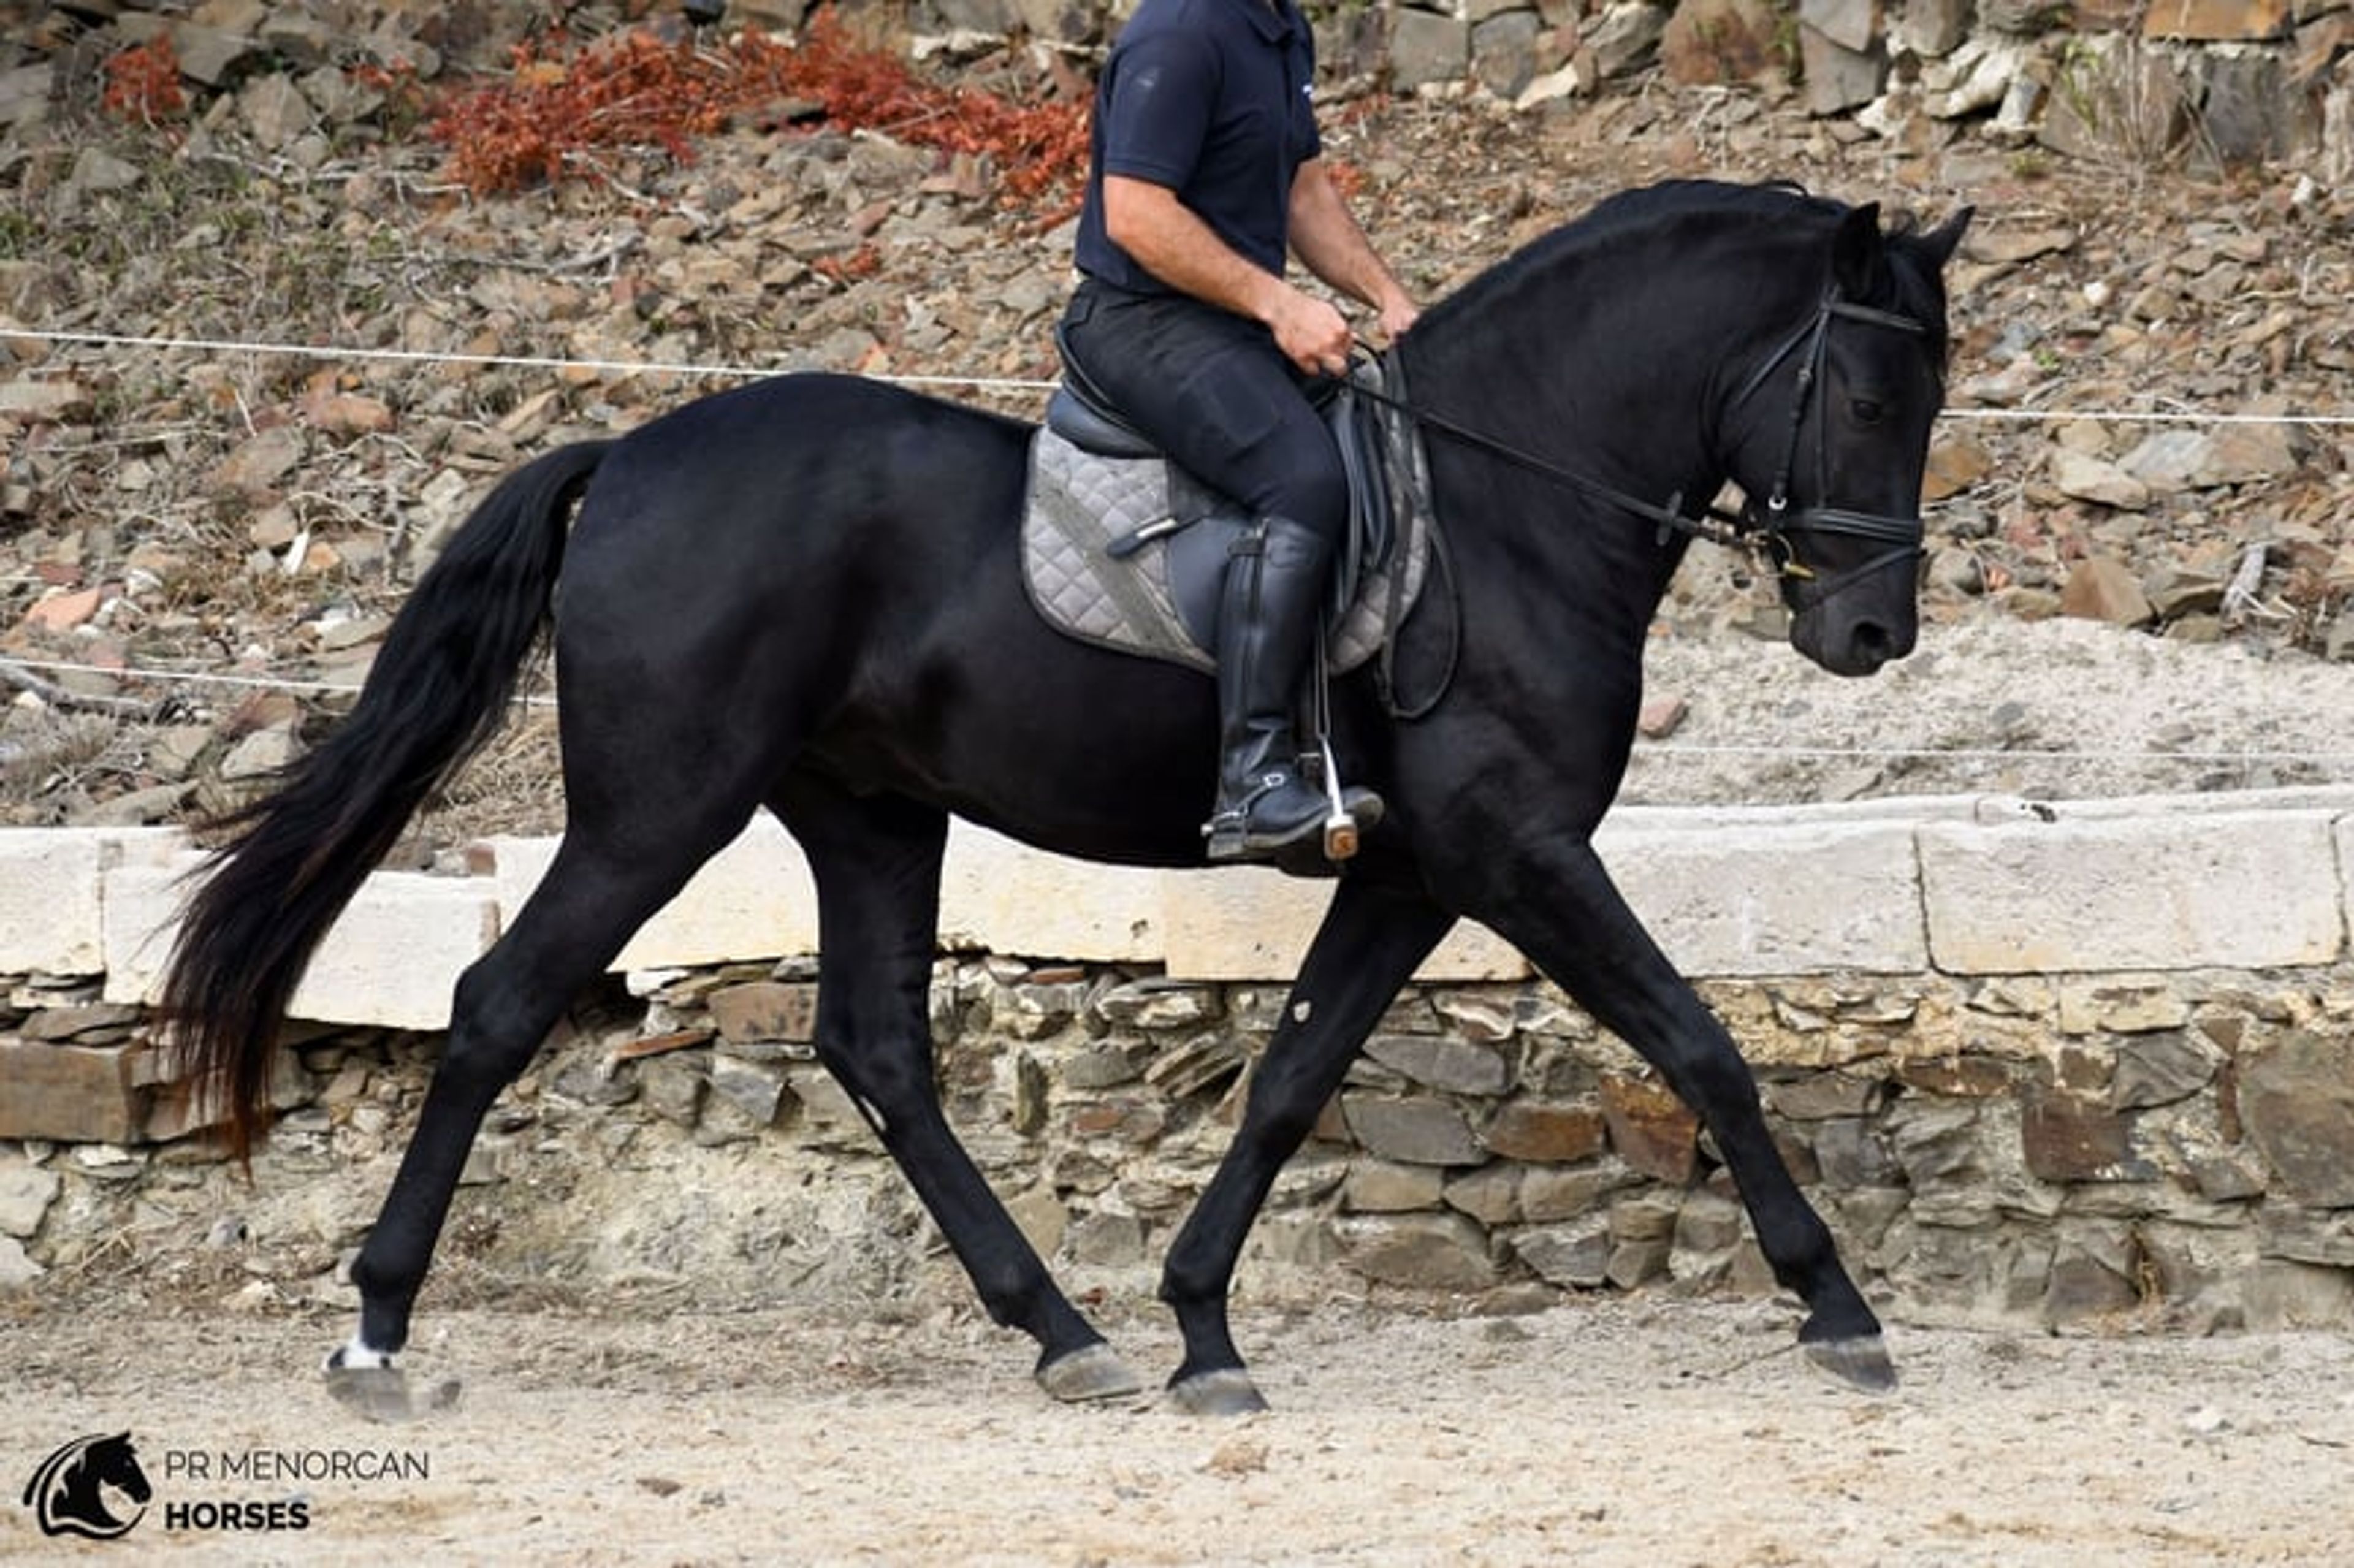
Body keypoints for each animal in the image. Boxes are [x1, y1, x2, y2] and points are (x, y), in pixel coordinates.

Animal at [162, 178, 1971, 1417]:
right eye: (1872, 397)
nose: (1867, 635)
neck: (1506, 499)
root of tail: (634, 456)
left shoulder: (1410, 870)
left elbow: (1291, 1078)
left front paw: (1198, 1322)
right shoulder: (1514, 847)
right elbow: (1697, 1039)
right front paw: (1836, 1304)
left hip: (871, 814)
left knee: (878, 1051)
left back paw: (1065, 1328)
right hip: (656, 810)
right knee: (495, 1005)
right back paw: (377, 1331)